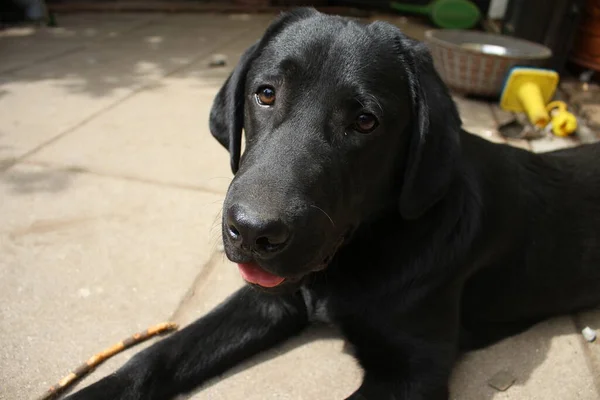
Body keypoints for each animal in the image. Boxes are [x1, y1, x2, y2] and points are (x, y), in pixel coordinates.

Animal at [65, 9, 600, 400]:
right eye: (265, 94)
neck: (362, 251)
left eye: (365, 122)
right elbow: (158, 356)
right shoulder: (270, 299)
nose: (253, 232)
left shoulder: (413, 368)